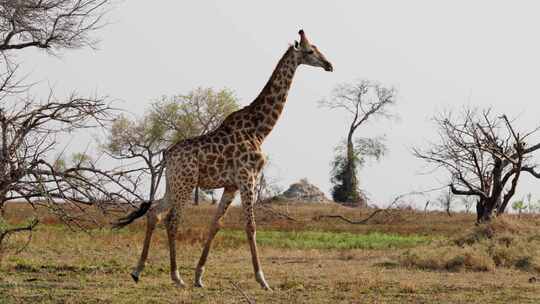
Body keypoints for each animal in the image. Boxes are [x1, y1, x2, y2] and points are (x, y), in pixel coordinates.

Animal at [113, 29, 332, 290]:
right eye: (310, 51)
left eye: (317, 48)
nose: (329, 65)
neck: (260, 129)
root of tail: (167, 154)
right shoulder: (248, 178)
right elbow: (251, 226)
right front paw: (262, 280)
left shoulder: (231, 185)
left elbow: (215, 224)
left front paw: (199, 276)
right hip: (186, 183)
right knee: (172, 220)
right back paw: (176, 276)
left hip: (172, 184)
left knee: (154, 212)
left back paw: (138, 271)